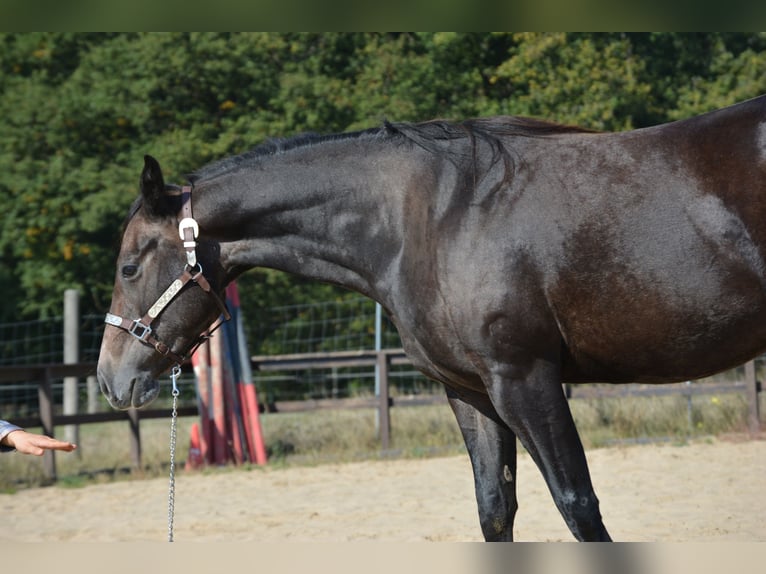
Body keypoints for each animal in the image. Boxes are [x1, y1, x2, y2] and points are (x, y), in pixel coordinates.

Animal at [97, 94, 766, 541]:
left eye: (129, 266)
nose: (110, 379)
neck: (434, 217)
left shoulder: (525, 380)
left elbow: (578, 505)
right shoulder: (470, 391)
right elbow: (495, 508)